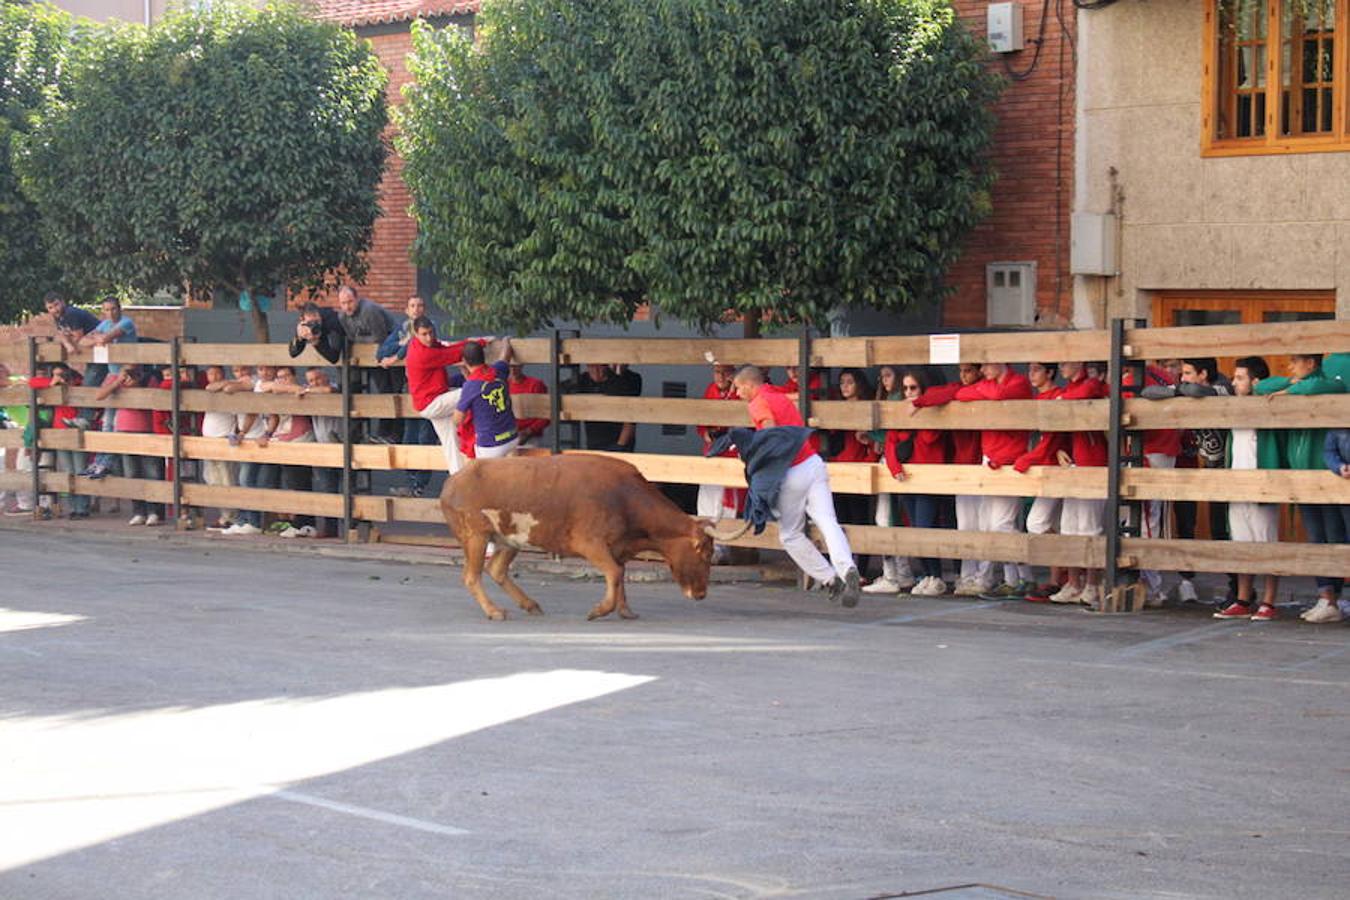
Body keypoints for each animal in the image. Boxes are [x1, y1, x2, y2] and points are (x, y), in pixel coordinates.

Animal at [442, 458, 750, 620]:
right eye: (705, 553)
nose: (700, 594)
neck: (625, 498)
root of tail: (454, 480)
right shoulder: (589, 543)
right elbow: (614, 572)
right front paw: (601, 610)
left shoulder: (618, 548)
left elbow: (620, 574)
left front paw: (625, 611)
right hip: (476, 536)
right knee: (472, 576)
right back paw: (494, 611)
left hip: (510, 539)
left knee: (496, 569)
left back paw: (530, 604)